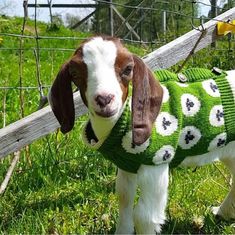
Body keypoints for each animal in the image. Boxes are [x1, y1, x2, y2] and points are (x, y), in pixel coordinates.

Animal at [49, 35, 235, 234]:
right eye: (75, 73)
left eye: (128, 69)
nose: (104, 99)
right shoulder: (126, 165)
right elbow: (124, 199)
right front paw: (123, 231)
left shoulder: (156, 164)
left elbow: (144, 216)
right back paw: (223, 212)